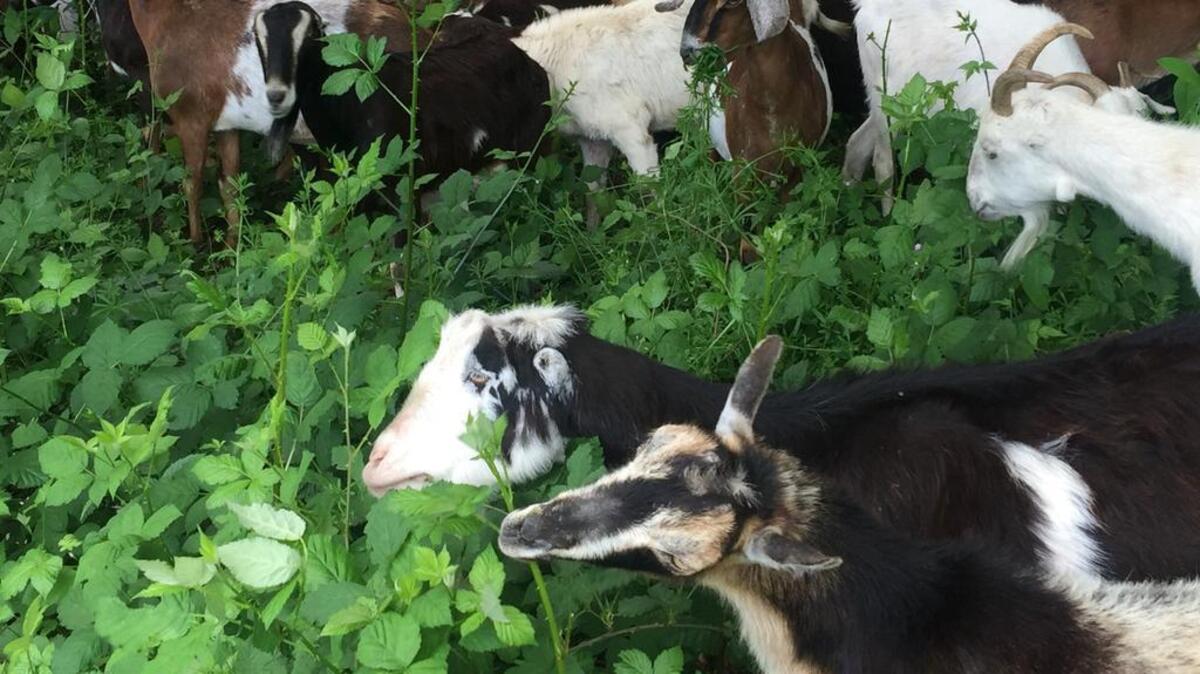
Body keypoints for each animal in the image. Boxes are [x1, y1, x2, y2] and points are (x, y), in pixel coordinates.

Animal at [126, 0, 416, 246]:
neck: (172, 17)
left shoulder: (190, 116)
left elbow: (191, 183)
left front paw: (195, 244)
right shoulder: (225, 125)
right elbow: (230, 187)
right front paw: (231, 247)